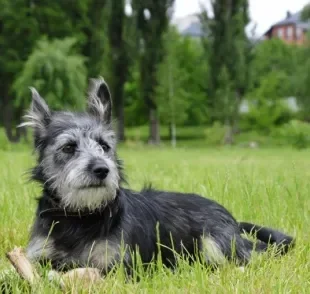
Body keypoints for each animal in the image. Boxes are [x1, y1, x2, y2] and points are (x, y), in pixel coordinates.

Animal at [21, 76, 294, 276]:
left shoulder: (120, 268)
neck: (79, 217)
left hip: (215, 243)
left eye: (104, 146)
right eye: (68, 147)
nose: (102, 170)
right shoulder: (36, 256)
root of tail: (230, 218)